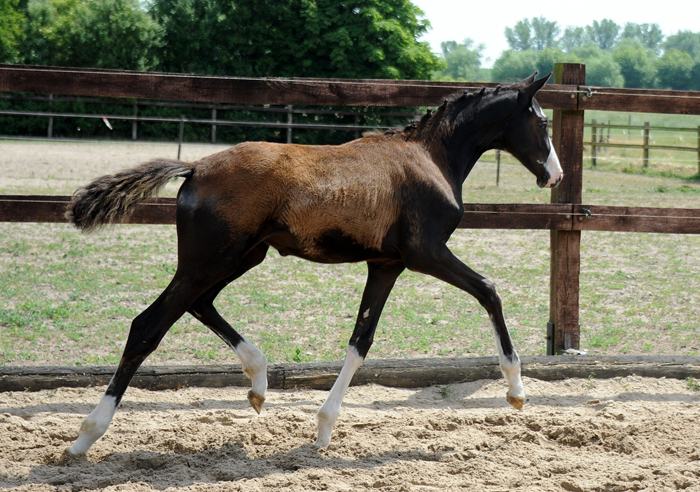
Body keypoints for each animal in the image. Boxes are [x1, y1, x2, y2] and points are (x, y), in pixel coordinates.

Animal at [65, 73, 564, 454]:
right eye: (541, 121)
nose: (554, 175)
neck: (430, 157)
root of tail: (196, 168)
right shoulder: (426, 253)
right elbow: (489, 290)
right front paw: (516, 391)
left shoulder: (386, 264)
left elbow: (361, 340)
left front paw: (324, 427)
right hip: (208, 261)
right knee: (148, 325)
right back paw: (86, 436)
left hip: (240, 257)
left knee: (199, 305)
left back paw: (258, 381)